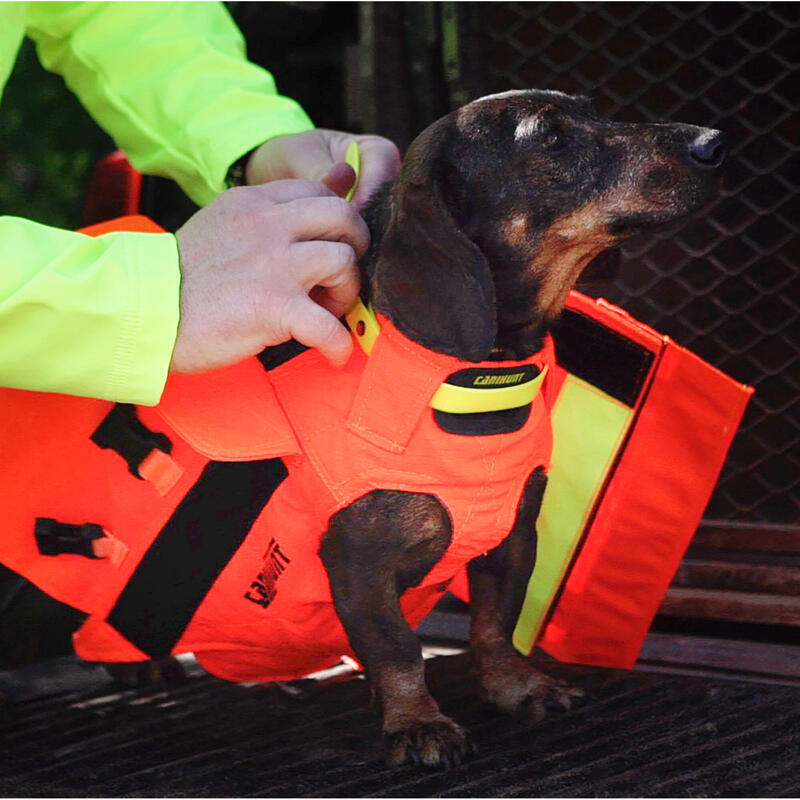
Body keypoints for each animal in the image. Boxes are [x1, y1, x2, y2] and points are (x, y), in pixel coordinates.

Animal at [318, 89, 724, 768]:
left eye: (595, 111)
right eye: (551, 140)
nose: (714, 143)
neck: (479, 383)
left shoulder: (512, 538)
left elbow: (494, 624)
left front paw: (517, 687)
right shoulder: (357, 562)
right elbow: (399, 650)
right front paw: (418, 722)